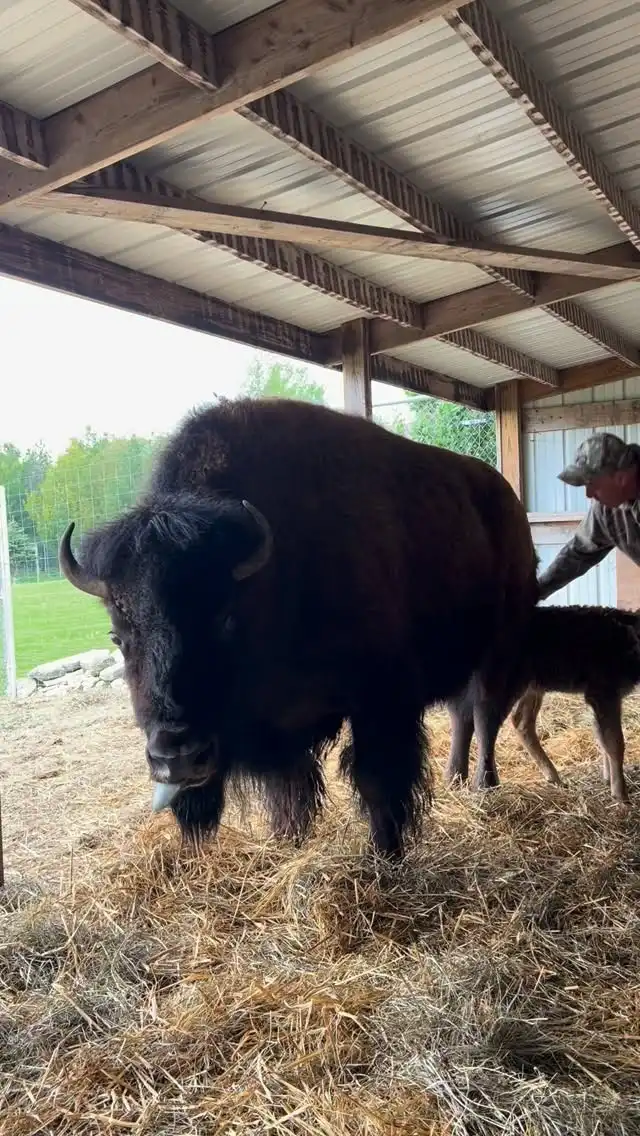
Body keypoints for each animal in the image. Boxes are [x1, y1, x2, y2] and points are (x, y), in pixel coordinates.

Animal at [59, 397, 538, 857]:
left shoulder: (381, 700)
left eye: (225, 619)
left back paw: (483, 784)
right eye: (118, 637)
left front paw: (387, 854)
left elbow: (376, 781)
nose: (176, 757)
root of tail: (511, 504)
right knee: (462, 713)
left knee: (485, 712)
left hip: (502, 643)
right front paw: (287, 842)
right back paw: (456, 777)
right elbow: (287, 792)